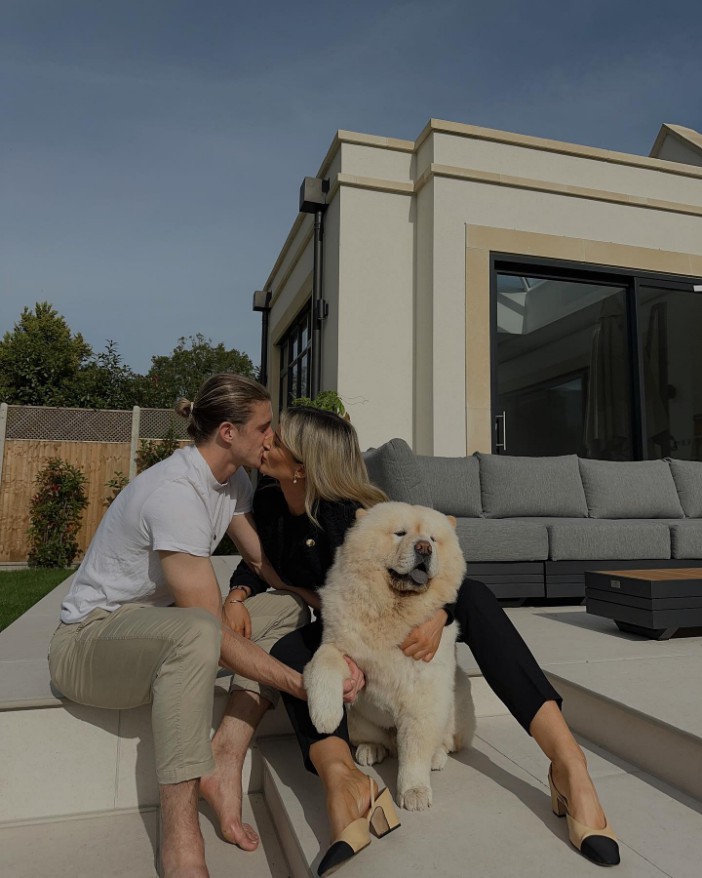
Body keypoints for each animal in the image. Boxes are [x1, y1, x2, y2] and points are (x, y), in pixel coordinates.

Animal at [306, 502, 476, 812]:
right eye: (400, 533)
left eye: (433, 539)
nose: (423, 548)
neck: (393, 609)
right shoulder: (340, 646)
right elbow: (325, 661)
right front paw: (324, 716)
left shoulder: (423, 693)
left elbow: (416, 748)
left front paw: (414, 791)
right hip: (359, 720)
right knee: (374, 738)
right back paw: (371, 749)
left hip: (455, 707)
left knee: (443, 740)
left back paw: (436, 757)